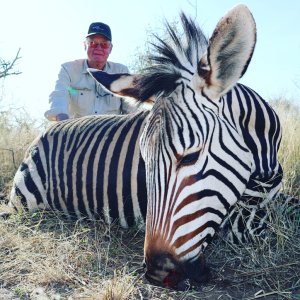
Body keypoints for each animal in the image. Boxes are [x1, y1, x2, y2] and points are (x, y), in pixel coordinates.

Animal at [7, 2, 286, 288]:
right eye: (144, 162)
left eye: (190, 157)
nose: (158, 273)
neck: (263, 167)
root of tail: (47, 130)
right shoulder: (237, 221)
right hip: (25, 203)